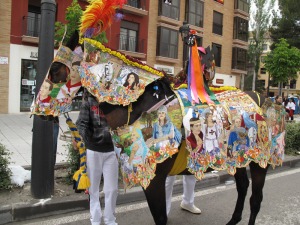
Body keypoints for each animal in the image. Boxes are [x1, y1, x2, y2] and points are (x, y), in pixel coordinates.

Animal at [31, 0, 286, 224]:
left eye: (55, 69)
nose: (38, 111)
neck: (139, 106)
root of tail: (266, 99)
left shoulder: (154, 181)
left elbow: (160, 217)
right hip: (240, 158)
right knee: (243, 187)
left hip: (259, 161)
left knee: (255, 198)